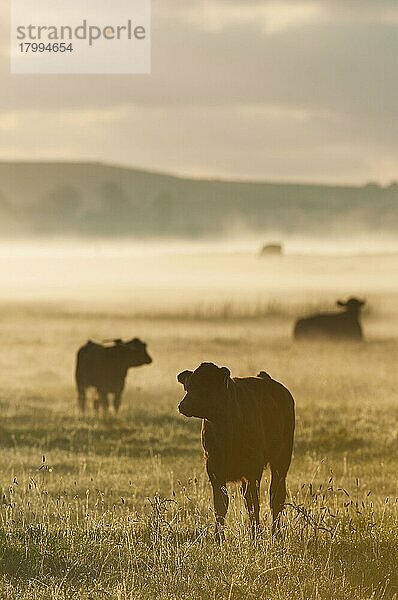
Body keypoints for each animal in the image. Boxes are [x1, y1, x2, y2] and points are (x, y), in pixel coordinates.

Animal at [177, 364, 296, 540]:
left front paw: (256, 535)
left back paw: (276, 533)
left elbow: (254, 503)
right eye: (188, 385)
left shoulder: (253, 468)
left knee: (276, 495)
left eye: (206, 385)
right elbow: (221, 504)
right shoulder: (213, 467)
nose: (183, 405)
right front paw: (219, 537)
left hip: (281, 459)